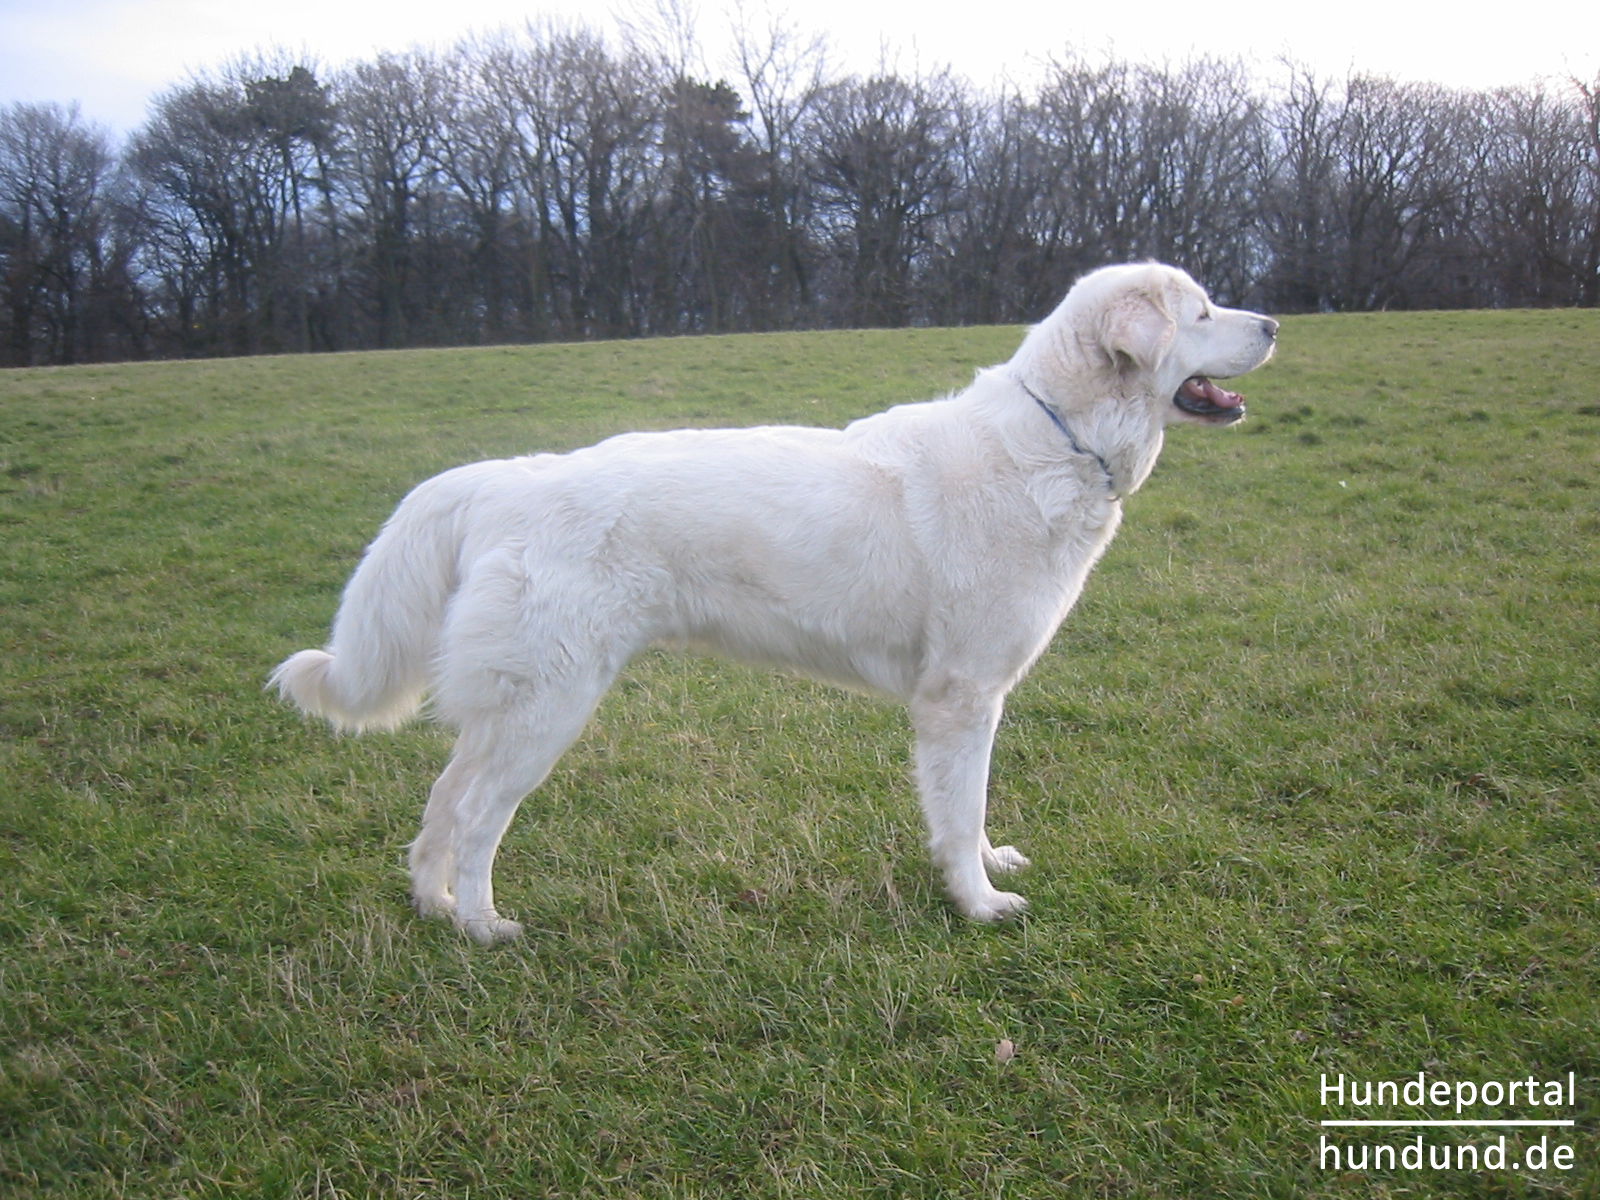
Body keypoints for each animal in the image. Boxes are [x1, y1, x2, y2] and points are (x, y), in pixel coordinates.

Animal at [272, 265, 1273, 947]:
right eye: (1201, 313)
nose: (1272, 322)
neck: (1059, 440)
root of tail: (501, 481)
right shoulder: (960, 699)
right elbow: (960, 810)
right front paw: (979, 903)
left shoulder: (970, 699)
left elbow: (974, 813)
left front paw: (988, 868)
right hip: (547, 710)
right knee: (479, 815)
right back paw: (484, 927)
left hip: (509, 708)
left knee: (442, 804)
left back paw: (434, 907)